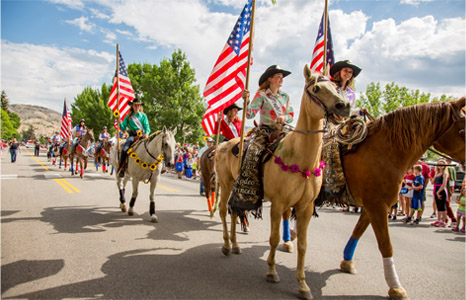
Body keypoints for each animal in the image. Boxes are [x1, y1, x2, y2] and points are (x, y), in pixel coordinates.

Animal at [215, 65, 350, 300]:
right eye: (316, 88)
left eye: (336, 87)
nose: (344, 106)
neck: (301, 159)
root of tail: (225, 145)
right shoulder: (278, 204)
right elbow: (275, 238)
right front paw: (271, 272)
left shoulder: (305, 207)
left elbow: (303, 245)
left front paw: (303, 285)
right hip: (225, 184)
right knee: (224, 211)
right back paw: (225, 245)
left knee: (234, 212)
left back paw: (235, 245)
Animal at [334, 97, 466, 298]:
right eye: (464, 129)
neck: (385, 151)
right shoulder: (377, 206)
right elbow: (386, 244)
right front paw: (395, 286)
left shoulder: (375, 206)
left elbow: (358, 231)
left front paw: (347, 262)